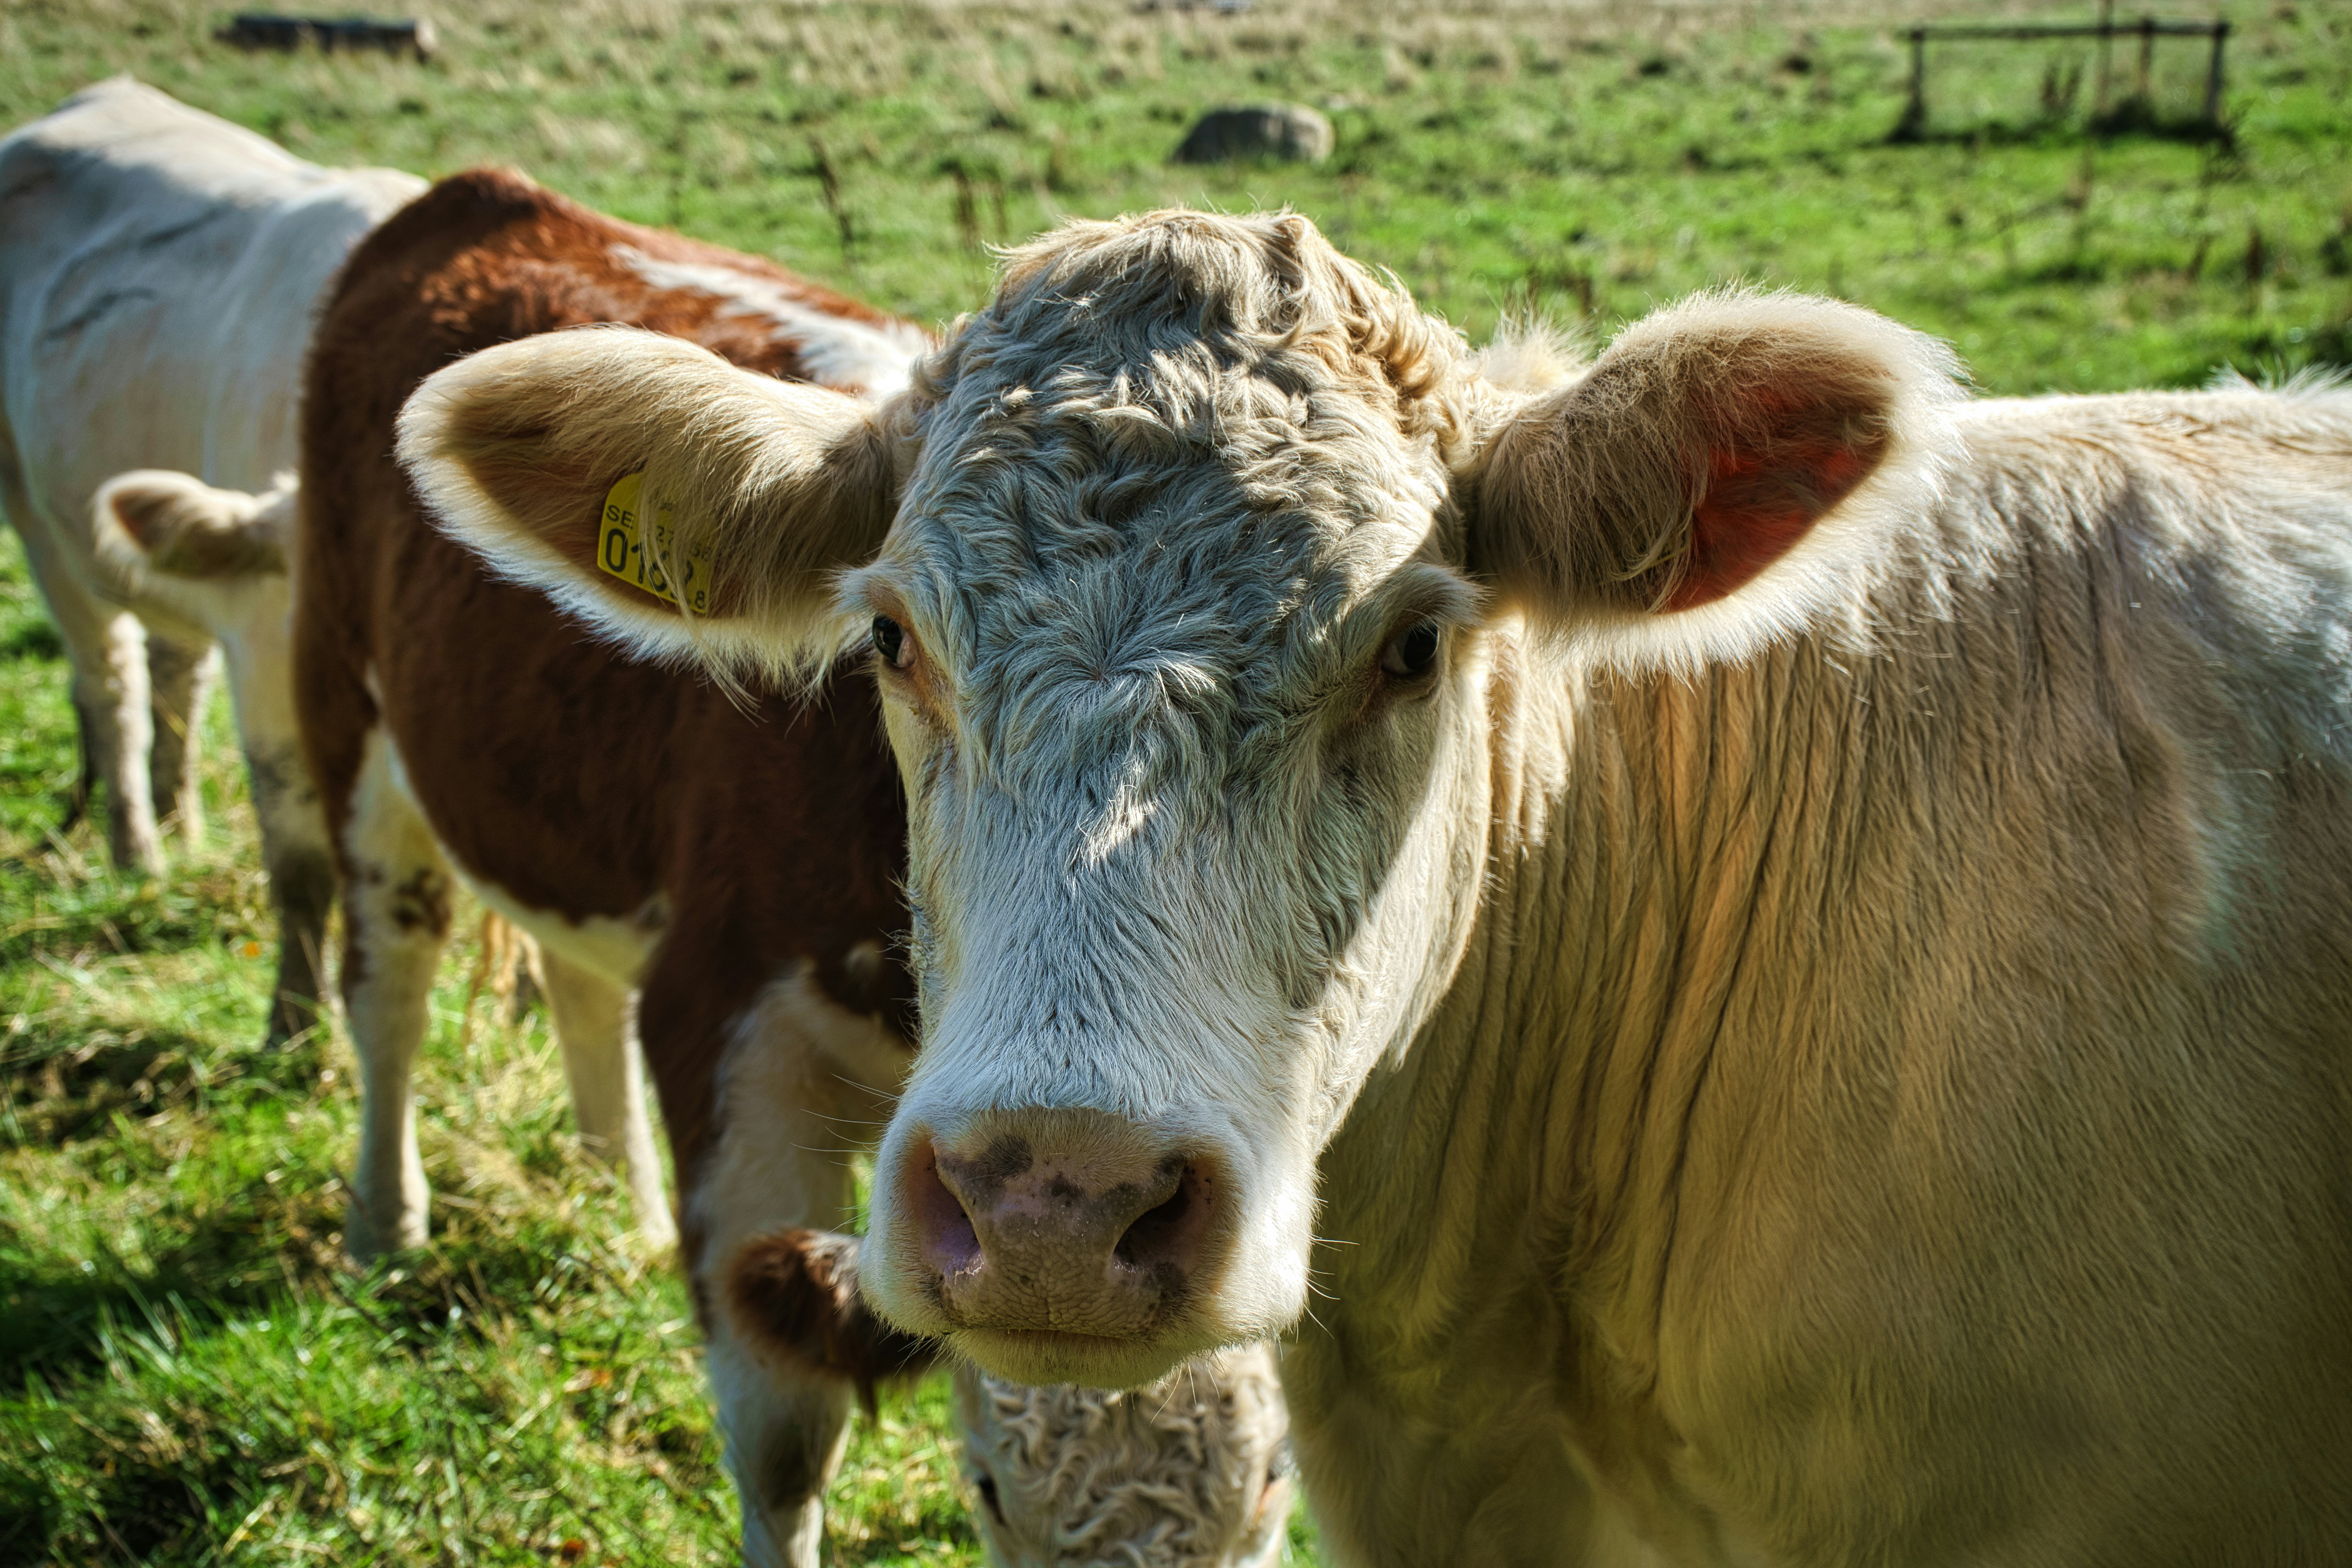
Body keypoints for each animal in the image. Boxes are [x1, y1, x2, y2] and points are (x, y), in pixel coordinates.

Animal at [0, 80, 423, 1045]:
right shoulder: (267, 654)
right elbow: (300, 856)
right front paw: (295, 1023)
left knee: (172, 673)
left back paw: (179, 821)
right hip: (36, 519)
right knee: (111, 686)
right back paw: (139, 851)